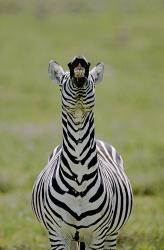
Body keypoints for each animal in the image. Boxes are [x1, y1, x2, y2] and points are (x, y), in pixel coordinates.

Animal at [31, 56, 133, 250]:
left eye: (92, 80)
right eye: (62, 81)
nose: (79, 60)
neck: (78, 180)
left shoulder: (98, 236)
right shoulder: (56, 234)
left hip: (111, 234)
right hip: (73, 238)